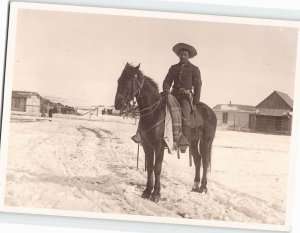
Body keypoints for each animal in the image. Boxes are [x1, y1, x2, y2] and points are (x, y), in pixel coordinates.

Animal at [114, 63, 216, 202]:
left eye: (129, 81)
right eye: (119, 80)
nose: (117, 104)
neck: (154, 112)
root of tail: (211, 112)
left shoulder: (159, 146)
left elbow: (157, 168)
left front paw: (156, 193)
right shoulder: (147, 146)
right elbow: (150, 167)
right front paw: (147, 191)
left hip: (206, 141)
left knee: (205, 161)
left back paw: (203, 187)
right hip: (194, 142)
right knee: (197, 160)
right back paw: (195, 185)